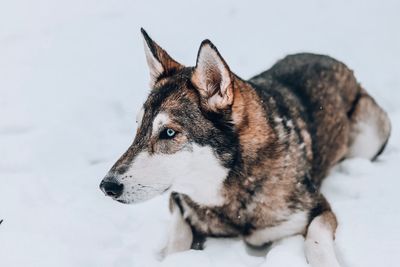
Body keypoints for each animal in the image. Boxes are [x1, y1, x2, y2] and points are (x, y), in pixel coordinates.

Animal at [99, 28, 390, 266]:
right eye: (139, 127)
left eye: (169, 132)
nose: (106, 186)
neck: (232, 186)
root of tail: (329, 59)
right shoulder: (179, 200)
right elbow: (178, 232)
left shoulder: (318, 208)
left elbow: (316, 239)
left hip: (370, 137)